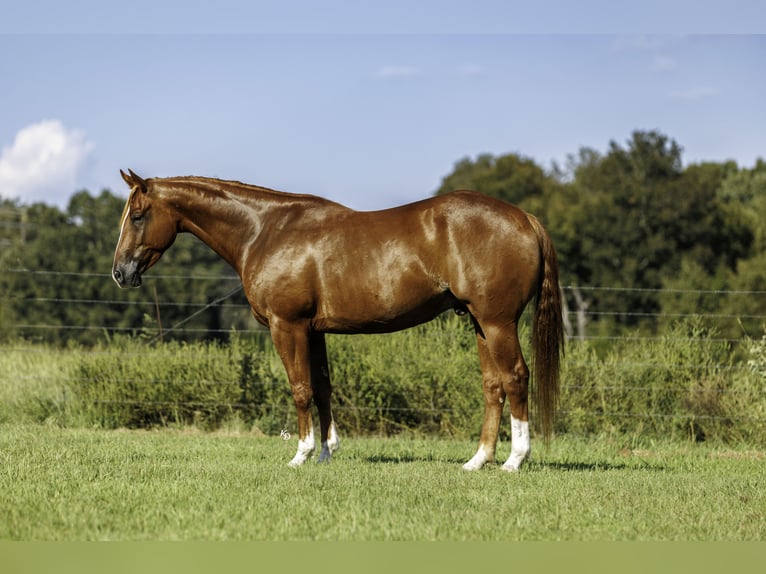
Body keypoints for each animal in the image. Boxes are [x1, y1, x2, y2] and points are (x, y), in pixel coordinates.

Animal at [112, 169, 564, 472]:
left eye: (138, 215)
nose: (120, 273)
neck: (264, 230)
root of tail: (524, 218)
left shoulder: (287, 325)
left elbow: (300, 389)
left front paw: (301, 454)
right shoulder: (314, 331)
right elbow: (323, 387)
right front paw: (327, 453)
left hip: (498, 322)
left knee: (515, 378)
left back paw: (514, 460)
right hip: (479, 323)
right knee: (493, 385)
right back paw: (477, 460)